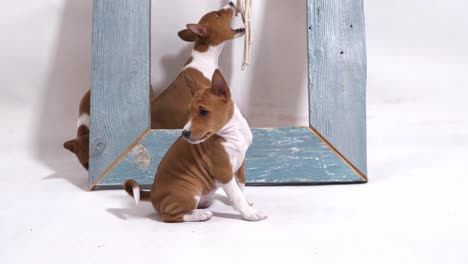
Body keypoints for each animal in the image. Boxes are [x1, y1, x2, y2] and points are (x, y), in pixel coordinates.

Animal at [124, 70, 266, 223]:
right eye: (188, 112)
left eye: (203, 111)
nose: (184, 133)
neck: (233, 132)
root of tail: (152, 193)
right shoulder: (223, 171)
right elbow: (237, 196)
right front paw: (249, 213)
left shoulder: (240, 163)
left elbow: (241, 186)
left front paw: (247, 203)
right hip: (189, 192)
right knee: (169, 216)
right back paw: (200, 214)